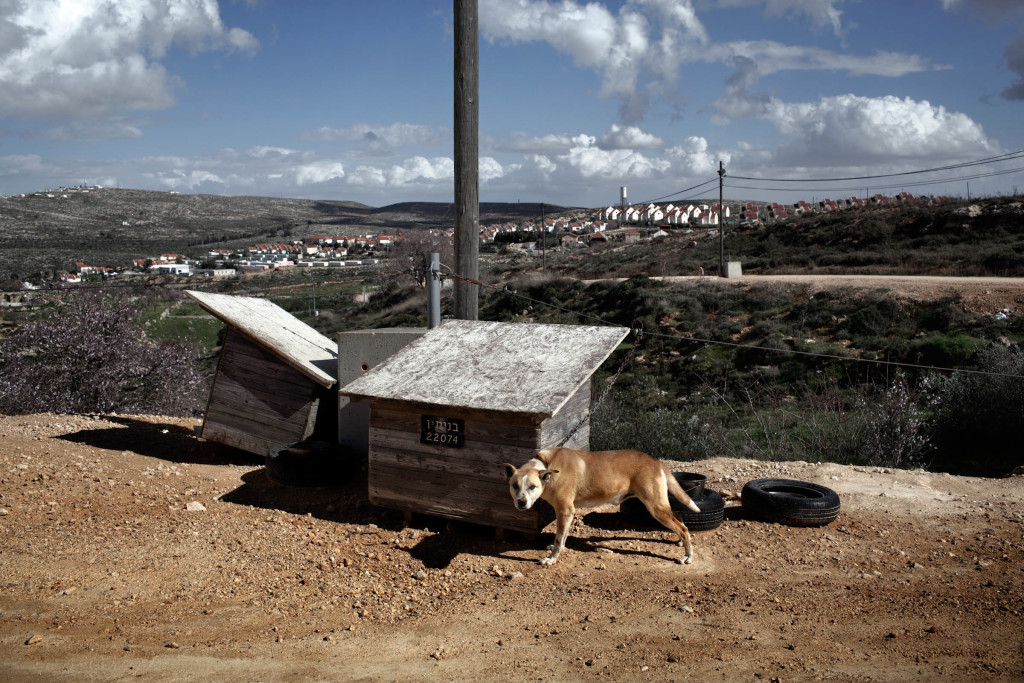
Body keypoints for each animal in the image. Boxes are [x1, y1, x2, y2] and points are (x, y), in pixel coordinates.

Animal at [499, 446, 700, 565]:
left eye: (532, 487)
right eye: (514, 486)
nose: (521, 502)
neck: (548, 467)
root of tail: (656, 461)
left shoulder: (565, 510)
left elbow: (558, 540)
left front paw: (551, 559)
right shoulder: (567, 513)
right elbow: (562, 537)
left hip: (655, 507)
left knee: (683, 528)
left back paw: (688, 555)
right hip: (660, 505)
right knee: (680, 519)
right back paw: (680, 542)